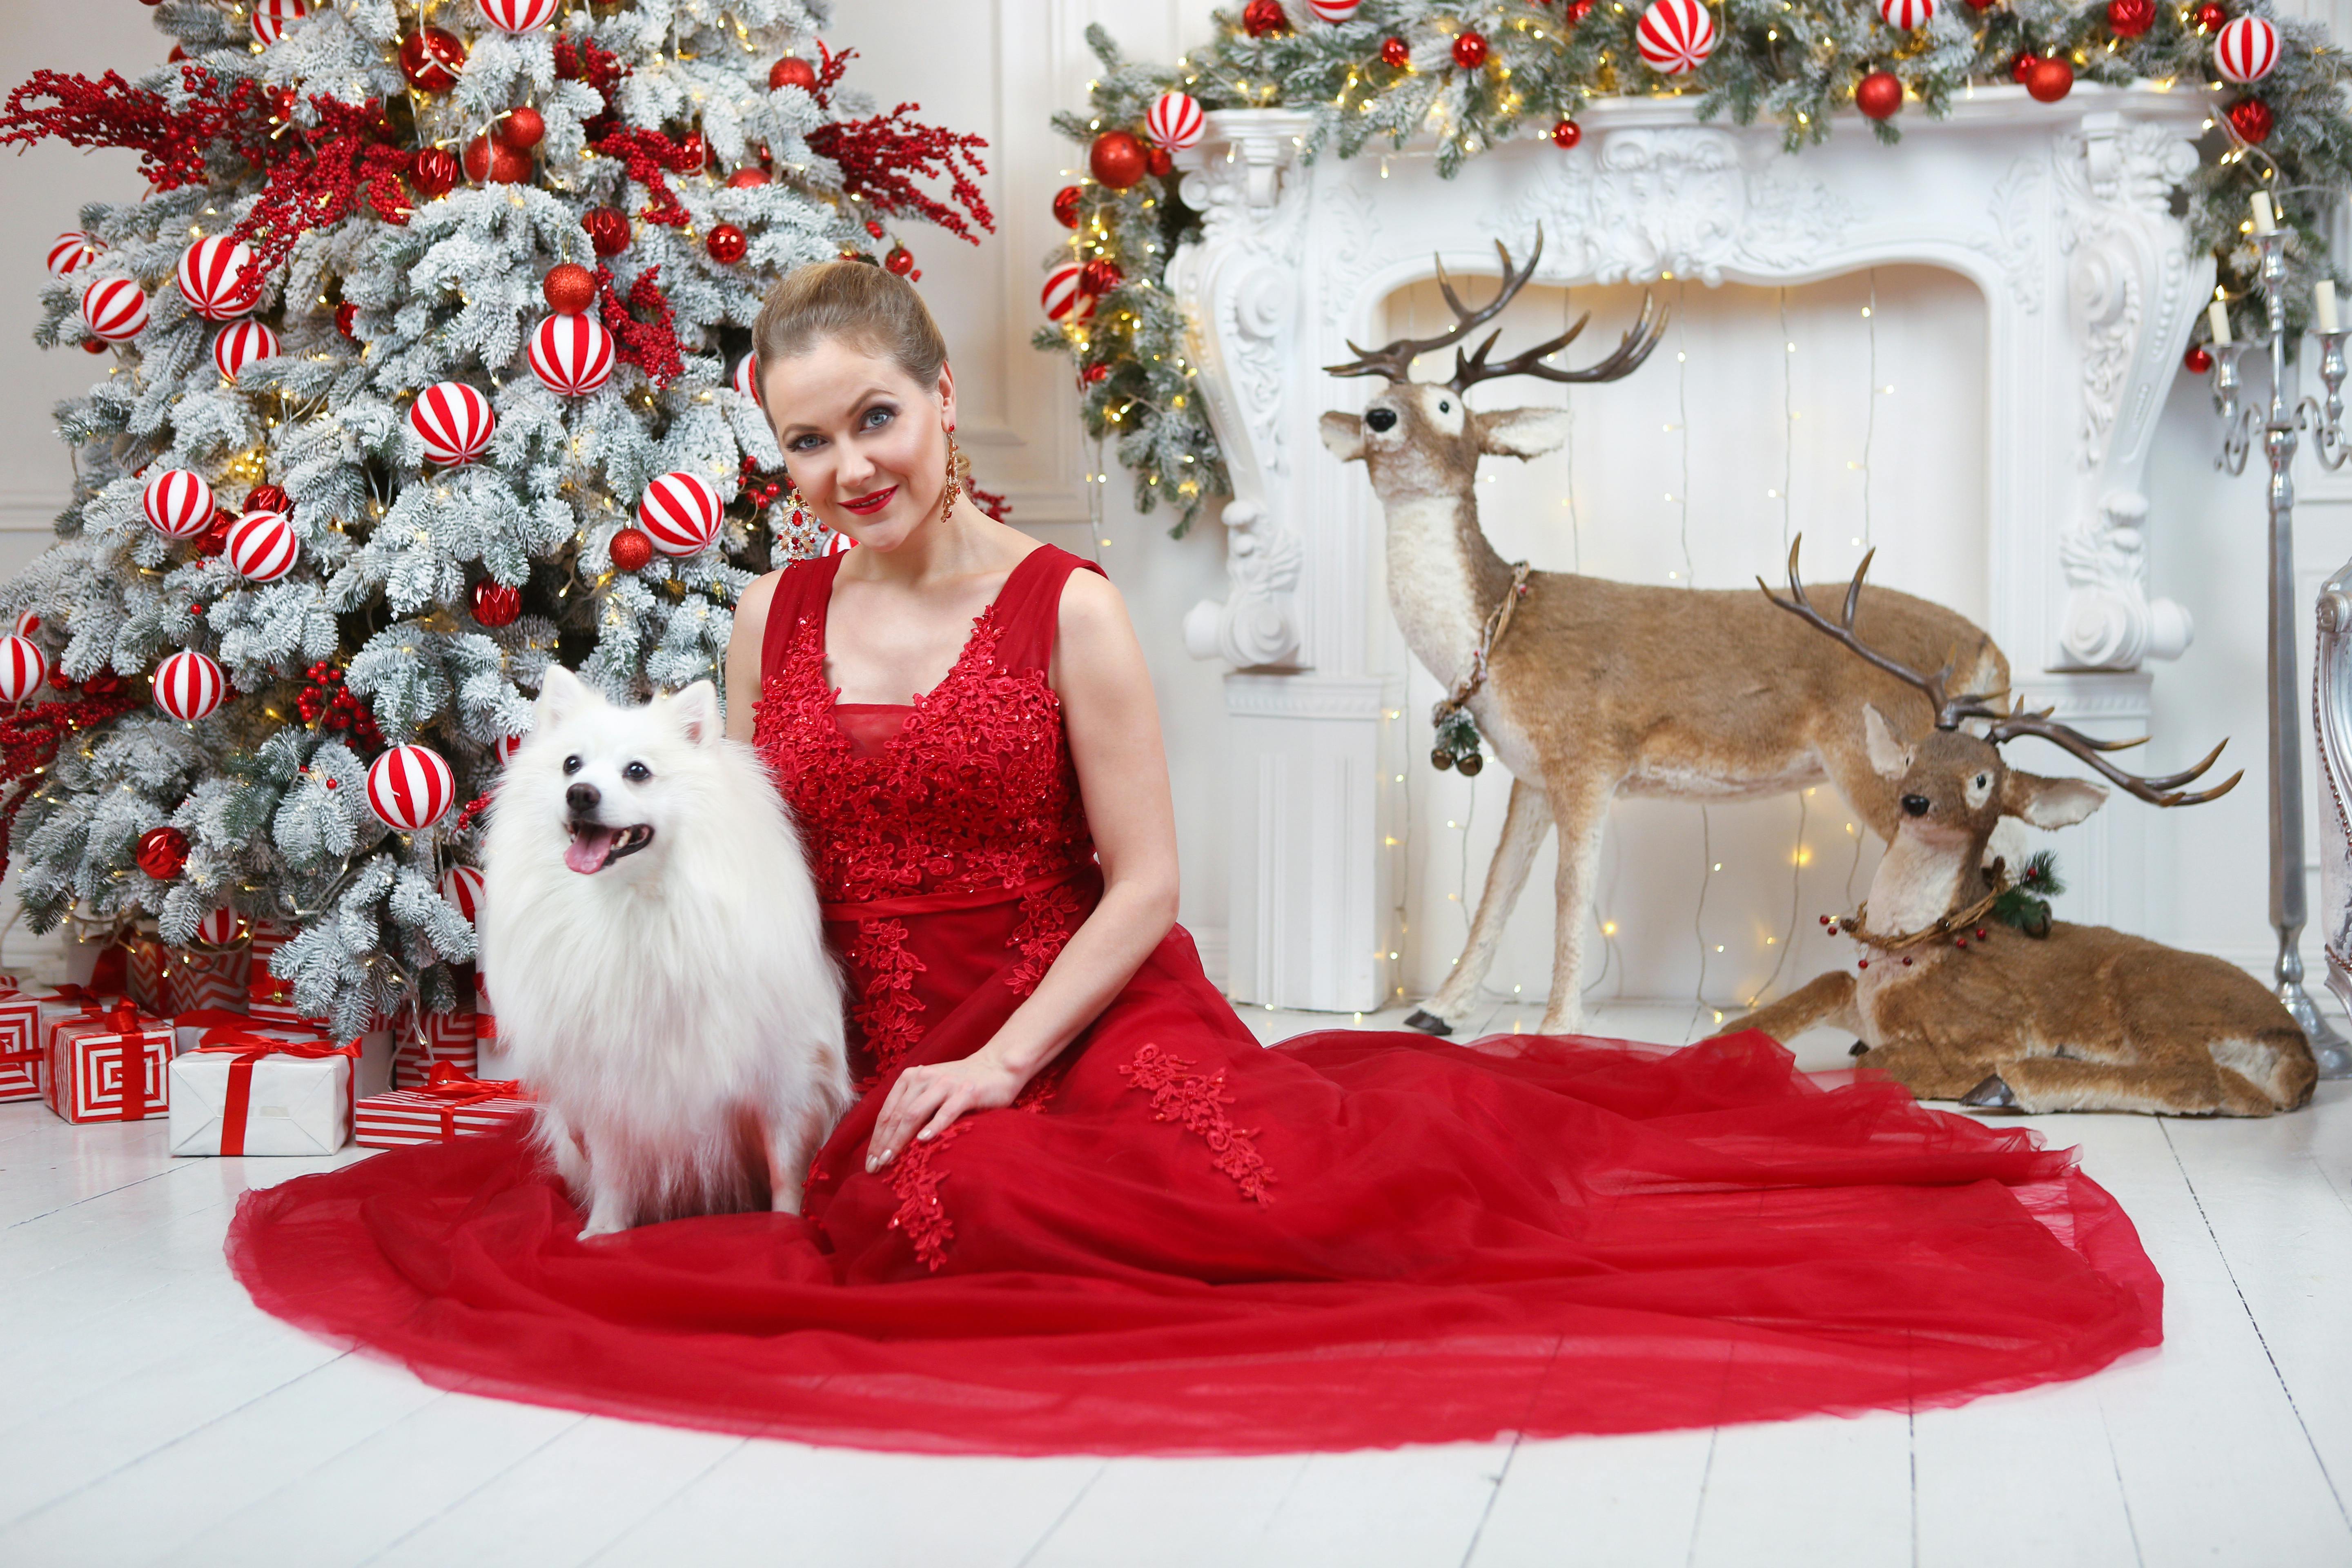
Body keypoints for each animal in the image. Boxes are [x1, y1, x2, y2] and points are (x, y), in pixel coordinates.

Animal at [480, 668, 856, 1241]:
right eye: (571, 764)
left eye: (637, 772)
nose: (580, 794)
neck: (633, 905)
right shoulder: (611, 1087)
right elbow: (614, 1171)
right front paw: (602, 1235)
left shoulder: (786, 1080)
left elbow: (786, 1170)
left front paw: (785, 1228)